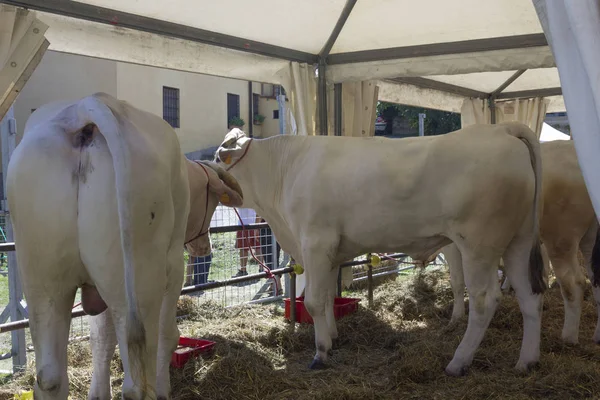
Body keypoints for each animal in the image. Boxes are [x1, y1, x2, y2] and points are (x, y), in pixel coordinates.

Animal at [6, 92, 241, 398]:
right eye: (212, 201)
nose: (204, 248)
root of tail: (84, 108)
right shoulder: (174, 269)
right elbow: (168, 334)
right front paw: (165, 389)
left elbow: (101, 338)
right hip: (142, 277)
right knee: (136, 382)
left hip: (43, 278)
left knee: (50, 377)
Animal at [213, 123, 548, 376]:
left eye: (218, 157)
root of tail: (501, 129)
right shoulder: (330, 249)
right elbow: (328, 297)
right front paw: (333, 336)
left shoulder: (315, 242)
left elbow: (315, 301)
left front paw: (320, 354)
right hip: (518, 241)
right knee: (530, 297)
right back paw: (526, 361)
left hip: (478, 245)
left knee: (484, 300)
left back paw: (458, 362)